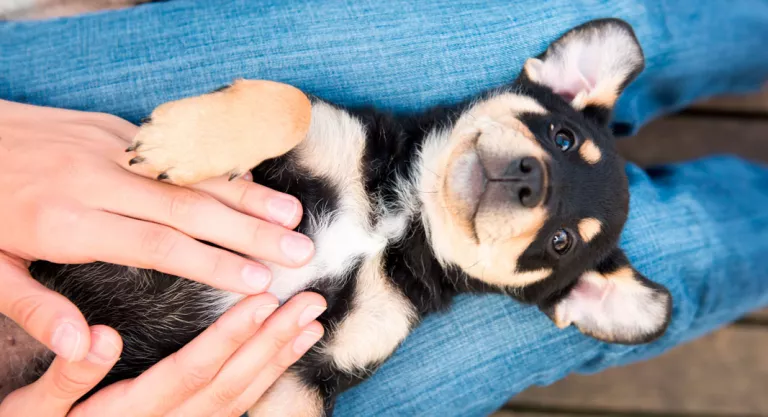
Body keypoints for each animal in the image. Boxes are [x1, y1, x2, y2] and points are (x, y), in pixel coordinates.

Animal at [1, 19, 672, 416]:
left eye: (560, 243)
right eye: (562, 137)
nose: (533, 180)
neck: (397, 221)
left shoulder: (304, 378)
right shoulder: (324, 135)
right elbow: (290, 102)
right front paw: (178, 143)